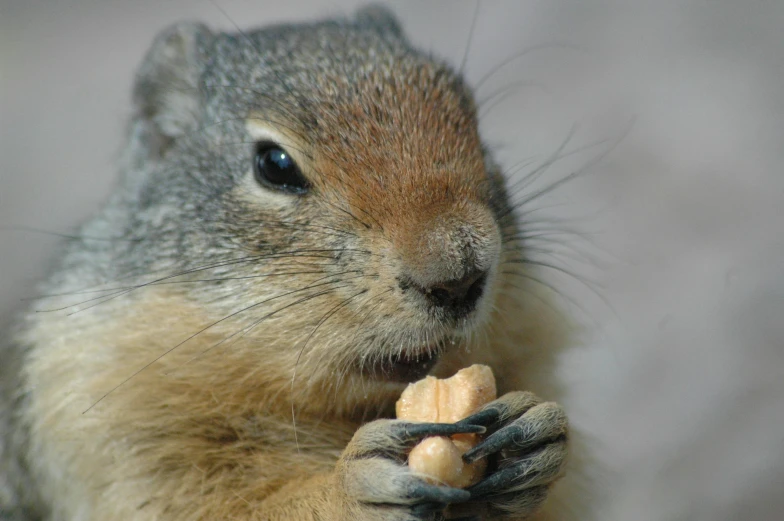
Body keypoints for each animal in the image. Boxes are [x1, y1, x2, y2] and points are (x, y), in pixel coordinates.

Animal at [0, 5, 588, 520]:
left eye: (475, 126)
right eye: (273, 164)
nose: (460, 276)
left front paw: (536, 430)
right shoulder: (105, 418)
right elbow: (226, 507)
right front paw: (353, 485)